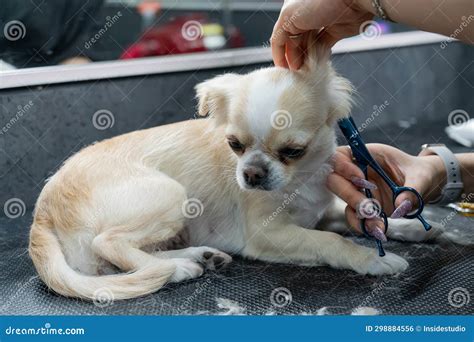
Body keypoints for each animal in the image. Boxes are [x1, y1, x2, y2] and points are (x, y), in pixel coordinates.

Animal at [29, 46, 442, 300]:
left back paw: (198, 257)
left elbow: (362, 216)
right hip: (174, 196)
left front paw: (407, 226)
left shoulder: (321, 211)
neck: (299, 181)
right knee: (110, 246)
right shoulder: (268, 234)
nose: (253, 174)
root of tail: (42, 212)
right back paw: (179, 270)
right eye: (234, 145)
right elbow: (330, 242)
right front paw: (373, 259)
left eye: (293, 151)